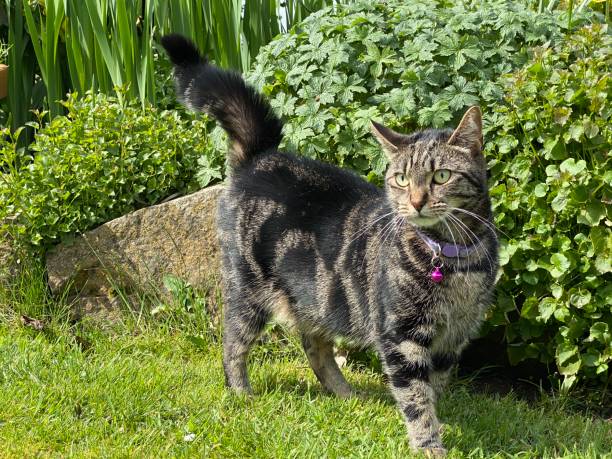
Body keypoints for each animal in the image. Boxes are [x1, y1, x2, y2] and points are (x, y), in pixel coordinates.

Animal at [163, 33, 498, 456]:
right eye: (402, 179)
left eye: (441, 176)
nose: (416, 201)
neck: (453, 257)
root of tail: (259, 157)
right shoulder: (402, 337)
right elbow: (416, 398)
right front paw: (428, 444)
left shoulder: (453, 338)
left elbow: (433, 389)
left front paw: (440, 423)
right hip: (248, 289)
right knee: (232, 344)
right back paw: (240, 393)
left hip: (317, 296)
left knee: (315, 347)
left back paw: (346, 394)